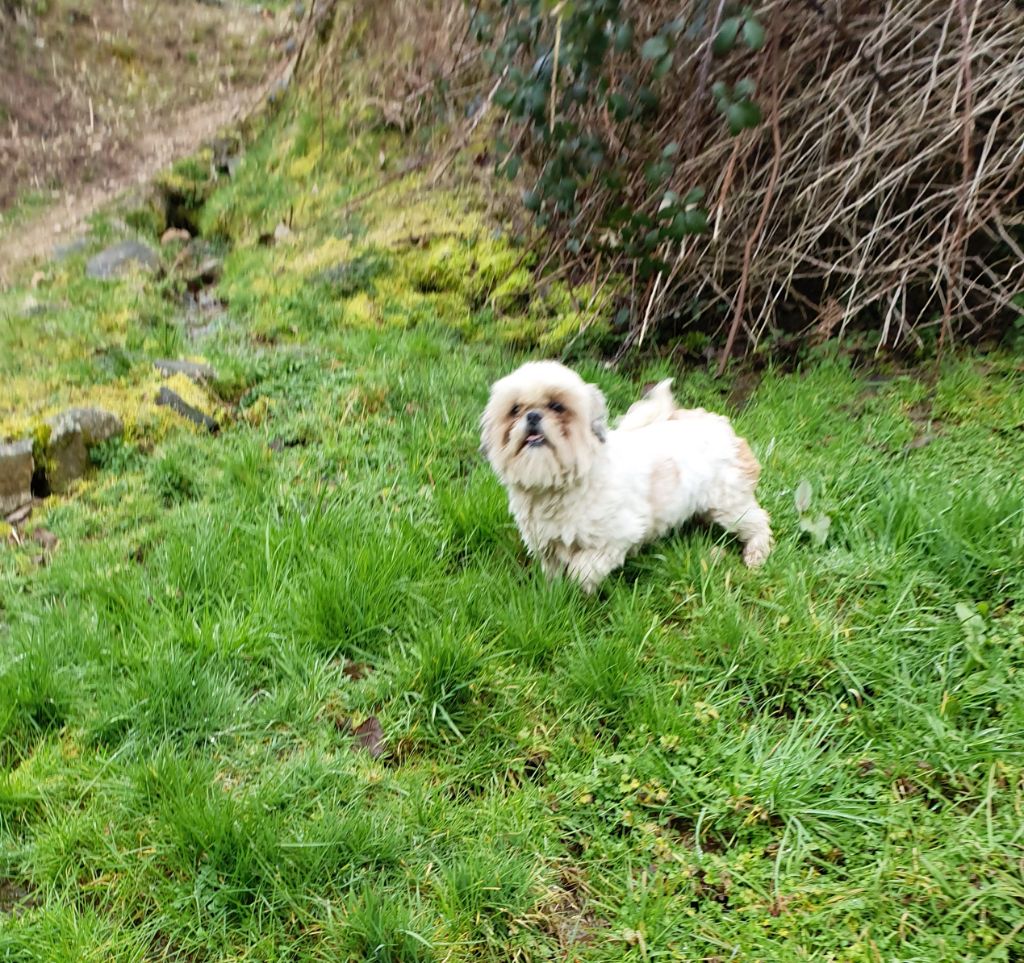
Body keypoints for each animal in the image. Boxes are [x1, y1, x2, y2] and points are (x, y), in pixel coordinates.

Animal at [483, 358, 770, 590]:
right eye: (515, 410)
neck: (559, 486)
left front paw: (581, 590)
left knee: (758, 522)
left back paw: (756, 554)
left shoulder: (617, 537)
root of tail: (719, 425)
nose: (532, 415)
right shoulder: (547, 545)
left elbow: (582, 569)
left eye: (557, 406)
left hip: (729, 505)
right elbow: (554, 573)